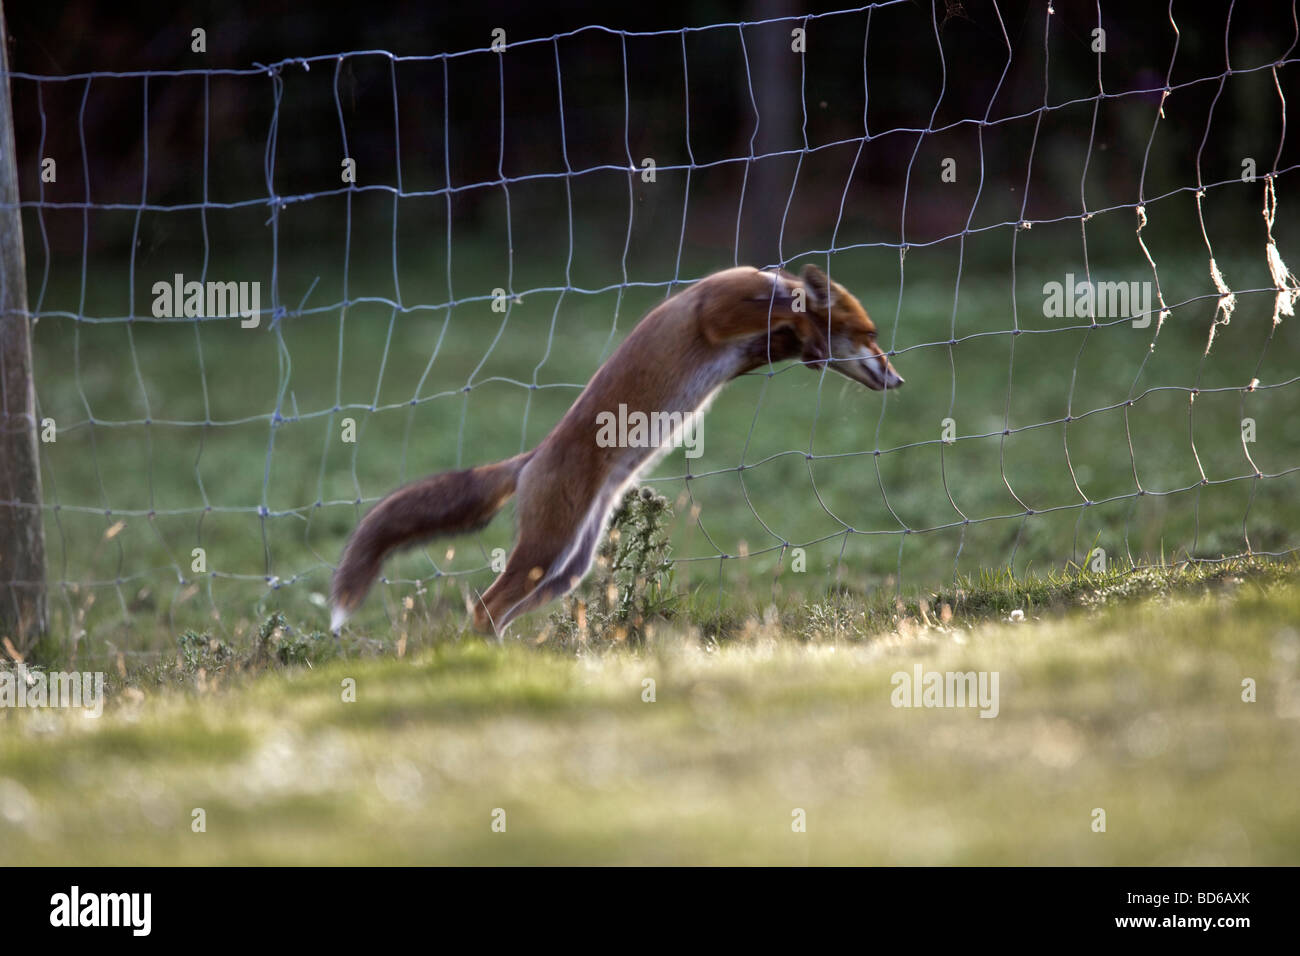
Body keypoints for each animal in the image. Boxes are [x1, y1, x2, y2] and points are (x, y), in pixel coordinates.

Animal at [330, 263, 903, 635]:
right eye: (870, 334)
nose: (899, 380)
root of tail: (530, 460)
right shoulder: (714, 313)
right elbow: (784, 316)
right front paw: (803, 329)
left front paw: (808, 346)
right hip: (547, 551)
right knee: (484, 608)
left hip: (565, 569)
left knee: (499, 611)